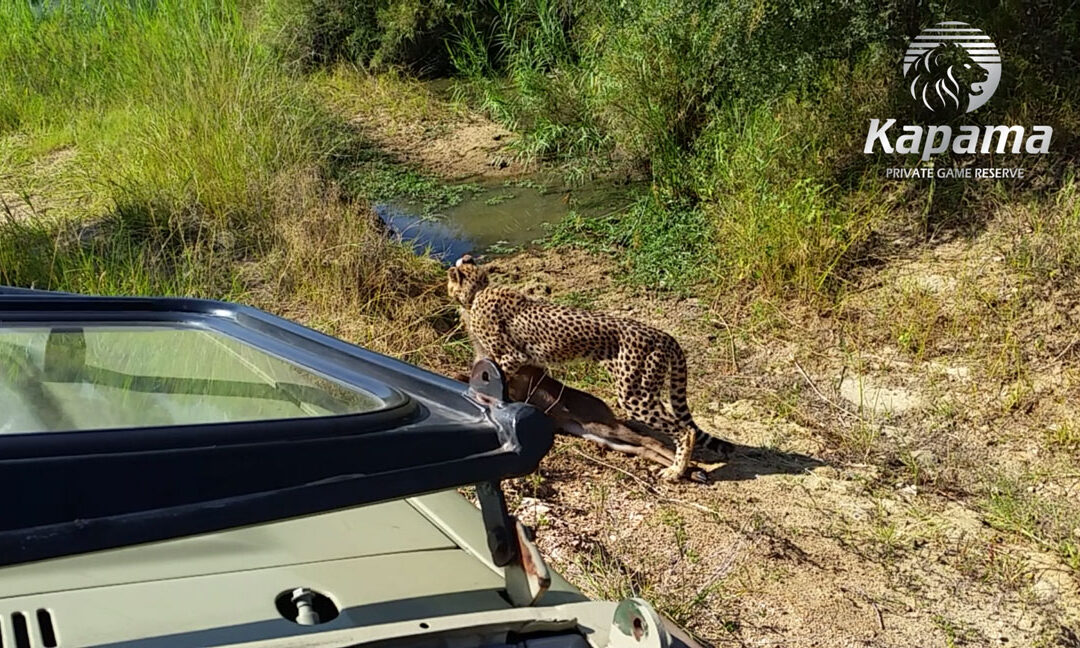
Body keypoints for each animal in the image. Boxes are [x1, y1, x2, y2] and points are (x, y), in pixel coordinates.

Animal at [446, 254, 733, 481]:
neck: (477, 294)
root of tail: (662, 334)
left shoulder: (513, 357)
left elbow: (487, 379)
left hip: (633, 397)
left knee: (682, 431)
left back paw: (677, 470)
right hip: (607, 426)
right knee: (649, 442)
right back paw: (688, 470)